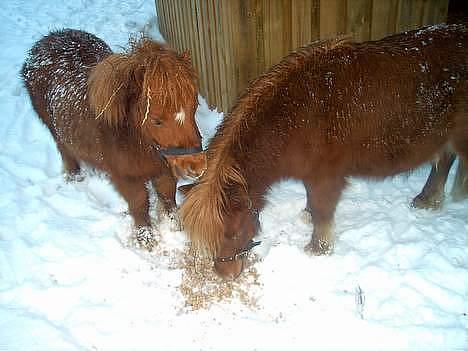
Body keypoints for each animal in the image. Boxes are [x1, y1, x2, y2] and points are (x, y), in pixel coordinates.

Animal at [23, 30, 207, 250]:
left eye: (194, 108)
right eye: (156, 120)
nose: (196, 166)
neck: (133, 139)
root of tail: (45, 41)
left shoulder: (164, 170)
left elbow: (168, 198)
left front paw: (176, 228)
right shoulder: (125, 178)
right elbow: (139, 204)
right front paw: (146, 239)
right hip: (53, 129)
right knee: (65, 150)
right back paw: (75, 176)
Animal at [179, 24, 468, 280]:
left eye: (232, 233)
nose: (224, 273)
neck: (295, 117)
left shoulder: (326, 177)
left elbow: (322, 209)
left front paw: (318, 248)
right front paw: (307, 218)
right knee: (443, 161)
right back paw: (428, 199)